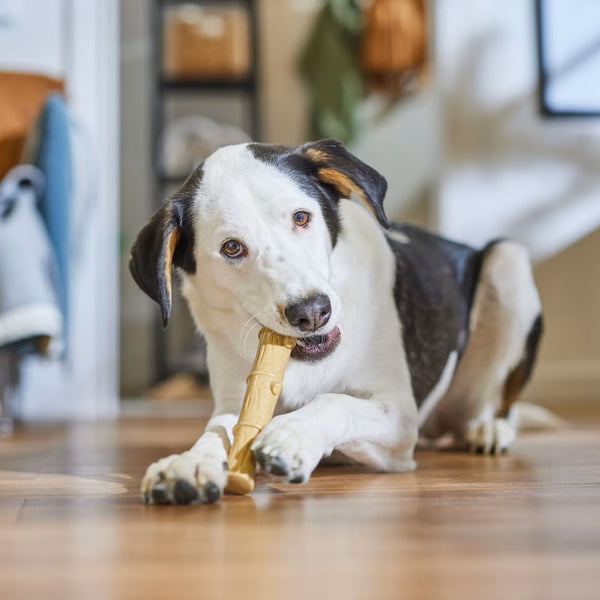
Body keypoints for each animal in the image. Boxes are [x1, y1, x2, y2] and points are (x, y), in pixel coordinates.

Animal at [131, 138, 544, 504]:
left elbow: (336, 402)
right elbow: (217, 430)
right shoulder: (236, 402)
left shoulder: (398, 415)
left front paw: (293, 436)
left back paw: (490, 428)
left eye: (301, 217)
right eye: (232, 247)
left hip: (507, 261)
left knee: (495, 403)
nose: (312, 311)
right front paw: (190, 463)